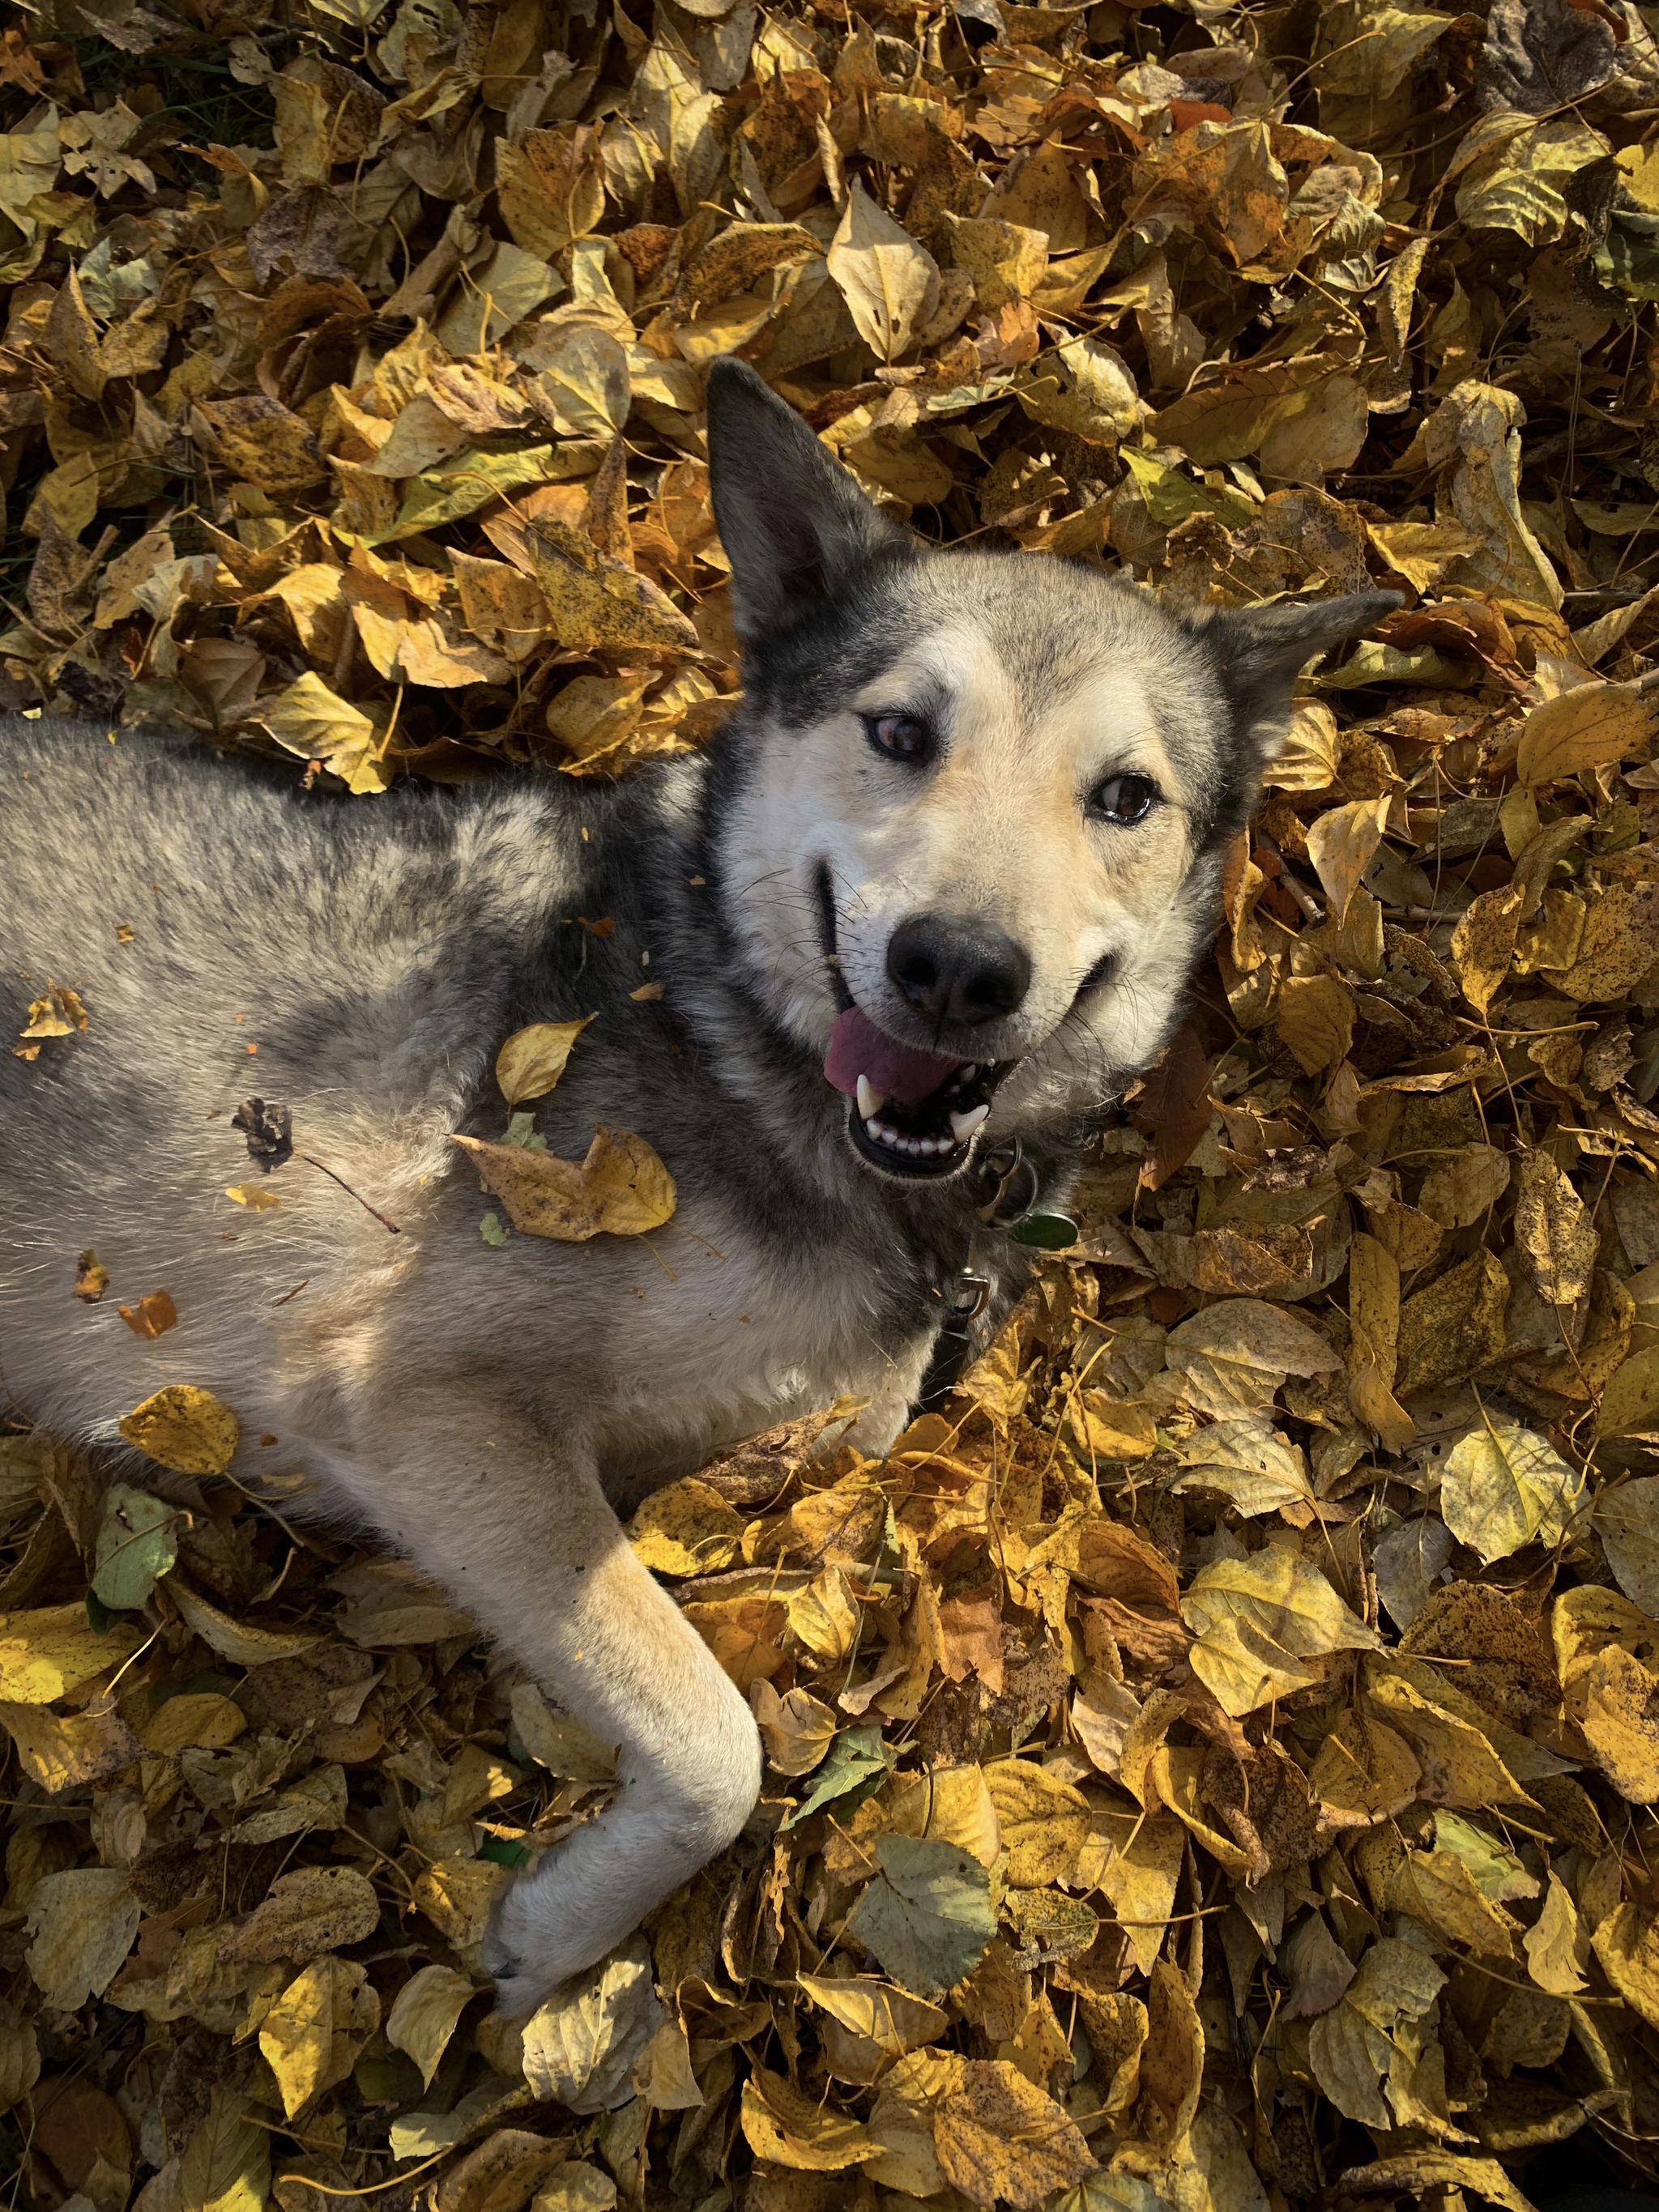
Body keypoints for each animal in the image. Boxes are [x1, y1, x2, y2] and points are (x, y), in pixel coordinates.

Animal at [0, 358, 1397, 2008]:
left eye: (1124, 798)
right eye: (899, 731)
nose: (956, 968)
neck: (734, 1036)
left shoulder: (806, 1426)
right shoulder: (413, 1397)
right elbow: (718, 1736)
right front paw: (563, 1927)